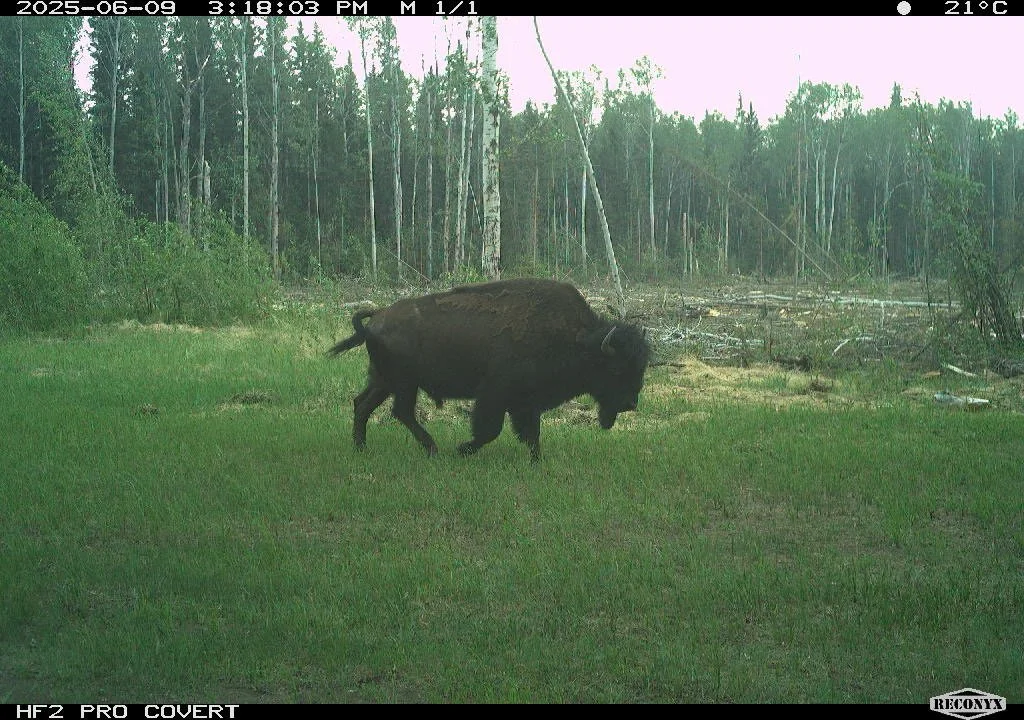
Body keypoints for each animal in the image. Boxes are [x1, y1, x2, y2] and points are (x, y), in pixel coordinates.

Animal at [327, 278, 650, 461]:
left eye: (641, 367)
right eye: (616, 369)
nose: (630, 403)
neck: (576, 339)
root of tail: (377, 318)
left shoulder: (526, 402)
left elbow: (531, 433)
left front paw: (537, 461)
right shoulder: (495, 395)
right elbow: (490, 430)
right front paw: (462, 450)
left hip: (383, 380)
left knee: (362, 404)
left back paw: (361, 448)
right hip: (404, 383)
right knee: (401, 411)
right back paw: (433, 449)